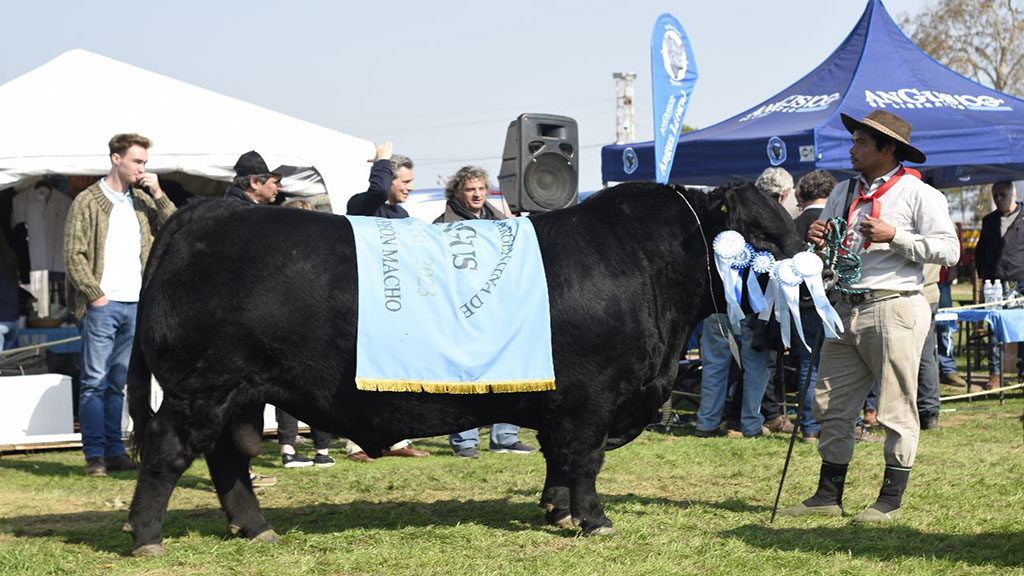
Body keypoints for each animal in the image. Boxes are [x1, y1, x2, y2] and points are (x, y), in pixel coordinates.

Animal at [123, 181, 802, 553]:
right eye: (762, 233)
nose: (807, 259)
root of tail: (209, 212)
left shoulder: (561, 402)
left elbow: (557, 460)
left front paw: (556, 510)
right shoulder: (592, 397)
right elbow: (585, 461)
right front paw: (593, 520)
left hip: (234, 392)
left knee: (226, 459)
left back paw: (255, 527)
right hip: (198, 389)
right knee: (168, 451)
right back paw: (146, 536)